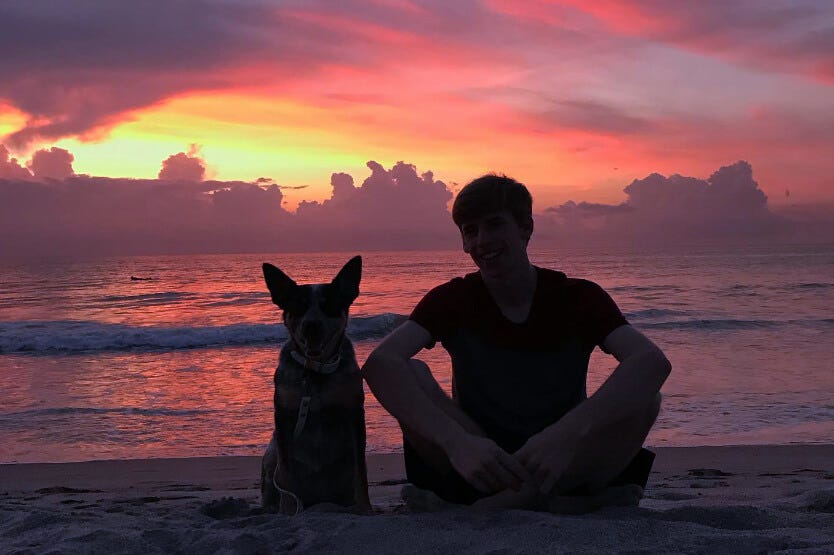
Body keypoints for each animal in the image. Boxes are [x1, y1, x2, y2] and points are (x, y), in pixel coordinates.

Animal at [256, 258, 368, 516]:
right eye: (299, 306)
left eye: (329, 305)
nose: (311, 325)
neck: (315, 372)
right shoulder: (284, 417)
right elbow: (286, 473)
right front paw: (288, 510)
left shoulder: (355, 414)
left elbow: (361, 470)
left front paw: (365, 507)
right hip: (271, 451)